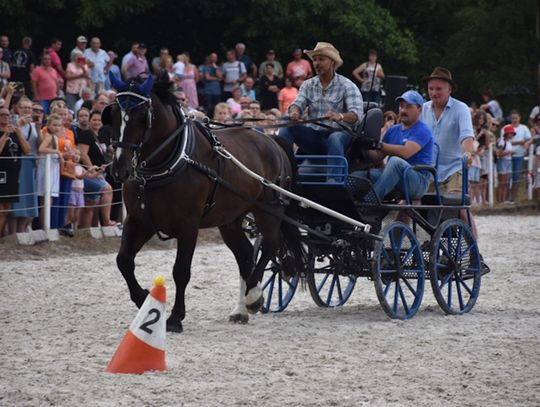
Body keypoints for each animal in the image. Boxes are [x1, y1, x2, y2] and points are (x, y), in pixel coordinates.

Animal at [104, 75, 300, 334]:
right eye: (114, 113)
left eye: (141, 116)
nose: (119, 169)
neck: (172, 161)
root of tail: (271, 139)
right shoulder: (138, 220)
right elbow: (123, 260)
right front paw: (143, 297)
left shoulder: (188, 225)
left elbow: (181, 271)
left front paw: (175, 317)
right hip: (230, 219)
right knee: (246, 254)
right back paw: (241, 308)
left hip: (268, 209)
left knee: (269, 245)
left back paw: (253, 297)